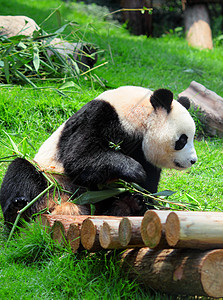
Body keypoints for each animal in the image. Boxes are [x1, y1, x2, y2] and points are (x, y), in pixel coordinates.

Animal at [0, 85, 197, 225]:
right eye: (182, 140)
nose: (193, 160)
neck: (141, 114)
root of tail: (64, 206)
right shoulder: (102, 115)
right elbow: (80, 157)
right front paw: (134, 171)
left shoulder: (145, 153)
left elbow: (149, 188)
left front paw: (137, 193)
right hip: (52, 179)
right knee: (21, 170)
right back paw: (17, 211)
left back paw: (126, 204)